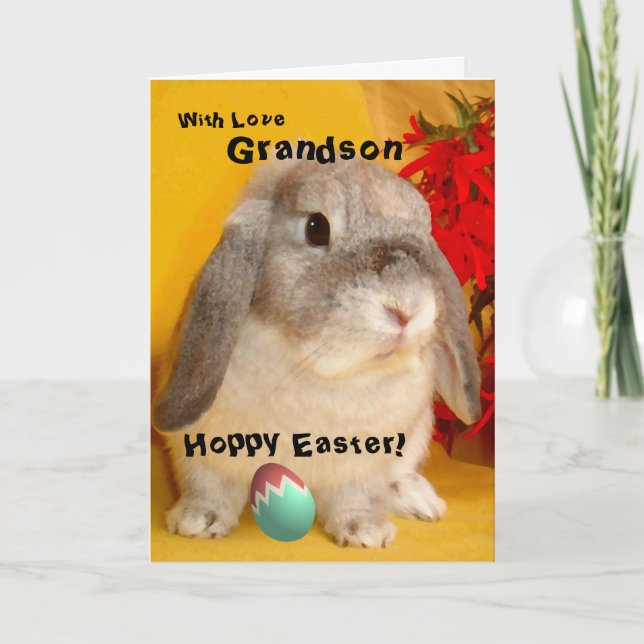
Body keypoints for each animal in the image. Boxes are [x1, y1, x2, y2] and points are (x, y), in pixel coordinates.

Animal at [153, 158, 481, 548]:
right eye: (316, 227)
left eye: (425, 232)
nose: (406, 309)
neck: (317, 371)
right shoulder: (205, 455)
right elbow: (211, 488)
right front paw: (198, 522)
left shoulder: (363, 466)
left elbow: (354, 498)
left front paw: (365, 533)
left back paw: (419, 501)